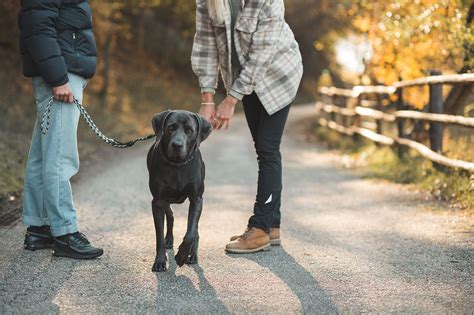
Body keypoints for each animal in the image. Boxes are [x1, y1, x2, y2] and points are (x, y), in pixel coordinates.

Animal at [145, 110, 210, 272]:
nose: (177, 145)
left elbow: (190, 233)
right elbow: (159, 236)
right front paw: (160, 261)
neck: (177, 165)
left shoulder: (196, 199)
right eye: (171, 128)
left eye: (189, 130)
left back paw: (193, 255)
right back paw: (169, 239)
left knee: (195, 229)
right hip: (165, 200)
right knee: (171, 215)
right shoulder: (157, 201)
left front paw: (182, 256)